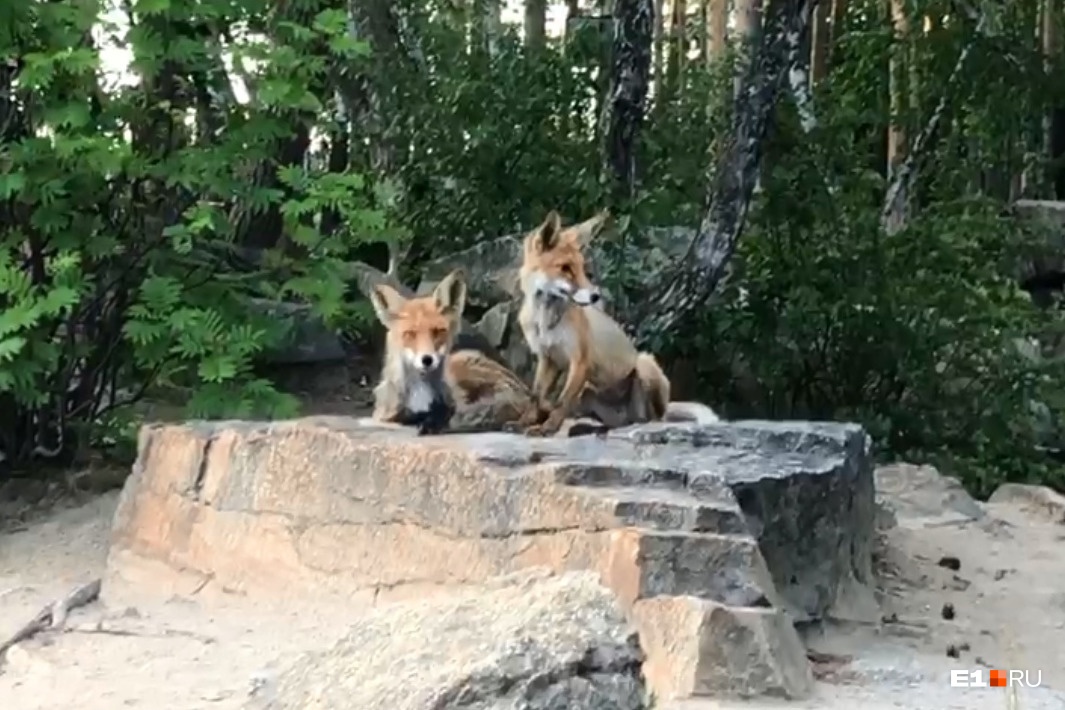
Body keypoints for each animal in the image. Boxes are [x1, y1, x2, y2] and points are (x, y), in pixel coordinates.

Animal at [370, 266, 545, 434]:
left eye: (438, 331)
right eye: (410, 334)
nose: (427, 359)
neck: (421, 393)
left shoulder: (452, 403)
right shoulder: (384, 414)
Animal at [509, 208, 724, 436]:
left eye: (582, 268)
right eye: (565, 268)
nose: (595, 296)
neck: (546, 320)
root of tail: (628, 416)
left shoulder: (580, 360)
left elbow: (562, 401)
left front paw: (547, 428)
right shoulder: (548, 359)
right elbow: (536, 397)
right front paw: (524, 423)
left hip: (644, 364)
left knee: (653, 420)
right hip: (590, 394)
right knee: (615, 424)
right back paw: (590, 428)